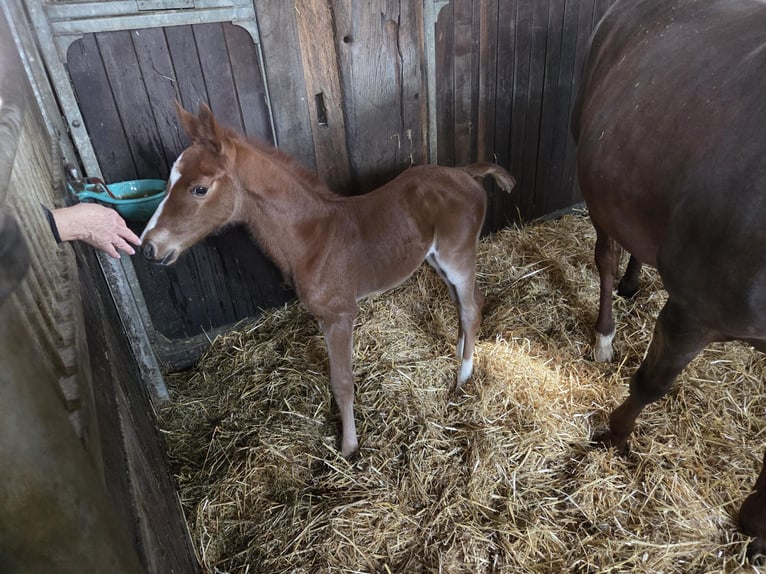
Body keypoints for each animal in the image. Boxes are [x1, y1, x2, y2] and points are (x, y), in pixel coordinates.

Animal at [141, 102, 515, 458]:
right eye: (167, 184)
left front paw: (349, 447)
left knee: (471, 307)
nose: (148, 247)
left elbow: (343, 382)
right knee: (463, 303)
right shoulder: (322, 315)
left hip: (457, 255)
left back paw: (462, 378)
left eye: (199, 188)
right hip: (437, 259)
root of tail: (464, 172)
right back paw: (460, 350)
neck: (313, 237)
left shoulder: (340, 315)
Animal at [571, 0, 766, 556]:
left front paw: (755, 527)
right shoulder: (694, 312)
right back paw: (605, 336)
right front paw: (613, 436)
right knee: (607, 255)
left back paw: (633, 284)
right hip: (599, 186)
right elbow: (651, 382)